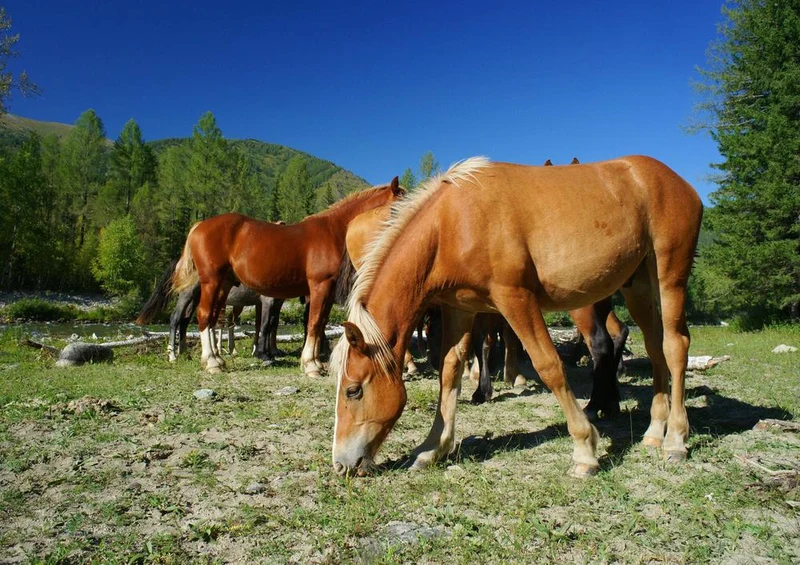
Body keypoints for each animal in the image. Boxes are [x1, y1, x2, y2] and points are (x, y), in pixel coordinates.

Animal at [171, 178, 406, 376]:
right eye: (400, 203)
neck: (333, 231)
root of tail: (199, 226)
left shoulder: (327, 291)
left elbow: (320, 324)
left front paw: (316, 362)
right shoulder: (319, 286)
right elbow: (313, 323)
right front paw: (310, 365)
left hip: (224, 284)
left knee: (211, 318)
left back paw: (218, 360)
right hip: (211, 282)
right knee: (202, 315)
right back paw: (210, 362)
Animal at [331, 156, 702, 478]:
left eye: (353, 391)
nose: (340, 464)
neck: (453, 221)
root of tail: (676, 181)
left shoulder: (515, 299)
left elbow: (548, 366)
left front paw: (585, 449)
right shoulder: (461, 309)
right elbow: (449, 371)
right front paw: (433, 447)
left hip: (670, 277)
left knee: (675, 347)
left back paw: (676, 440)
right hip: (639, 286)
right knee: (655, 348)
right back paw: (654, 431)